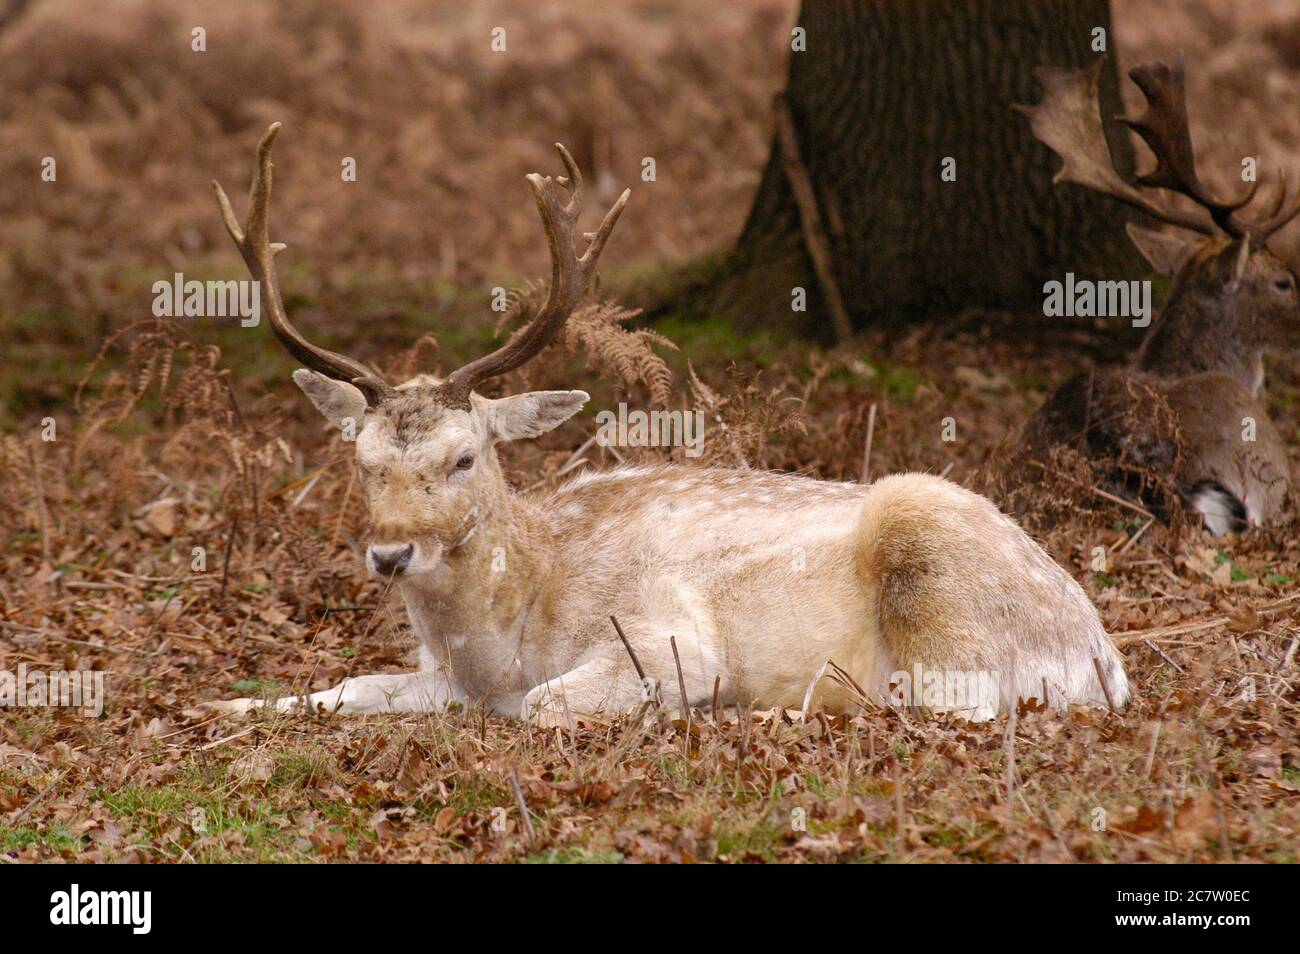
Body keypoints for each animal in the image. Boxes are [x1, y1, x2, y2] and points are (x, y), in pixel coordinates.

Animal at [202, 123, 1128, 722]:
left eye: (465, 458)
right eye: (362, 460)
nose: (391, 553)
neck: (503, 638)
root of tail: (1103, 660)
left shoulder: (663, 634)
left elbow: (542, 705)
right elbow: (349, 688)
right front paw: (229, 706)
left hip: (933, 561)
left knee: (955, 704)